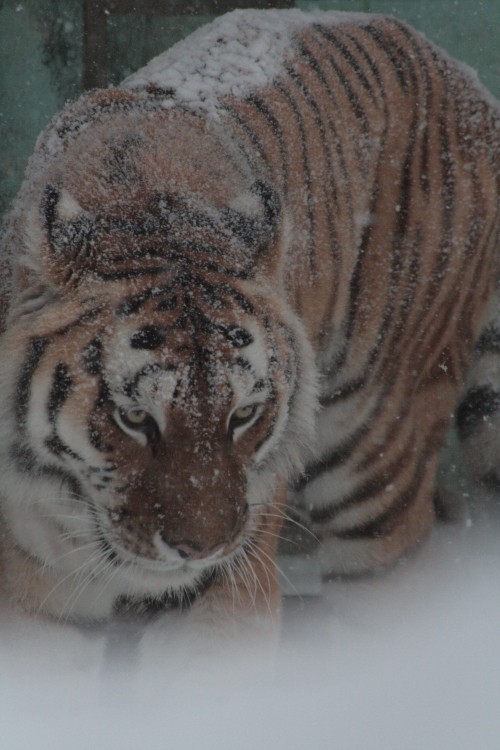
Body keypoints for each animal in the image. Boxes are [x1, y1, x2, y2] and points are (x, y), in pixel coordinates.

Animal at [0, 7, 498, 628]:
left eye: (244, 415)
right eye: (134, 419)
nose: (201, 549)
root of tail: (465, 79)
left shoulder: (235, 583)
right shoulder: (31, 587)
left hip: (379, 468)